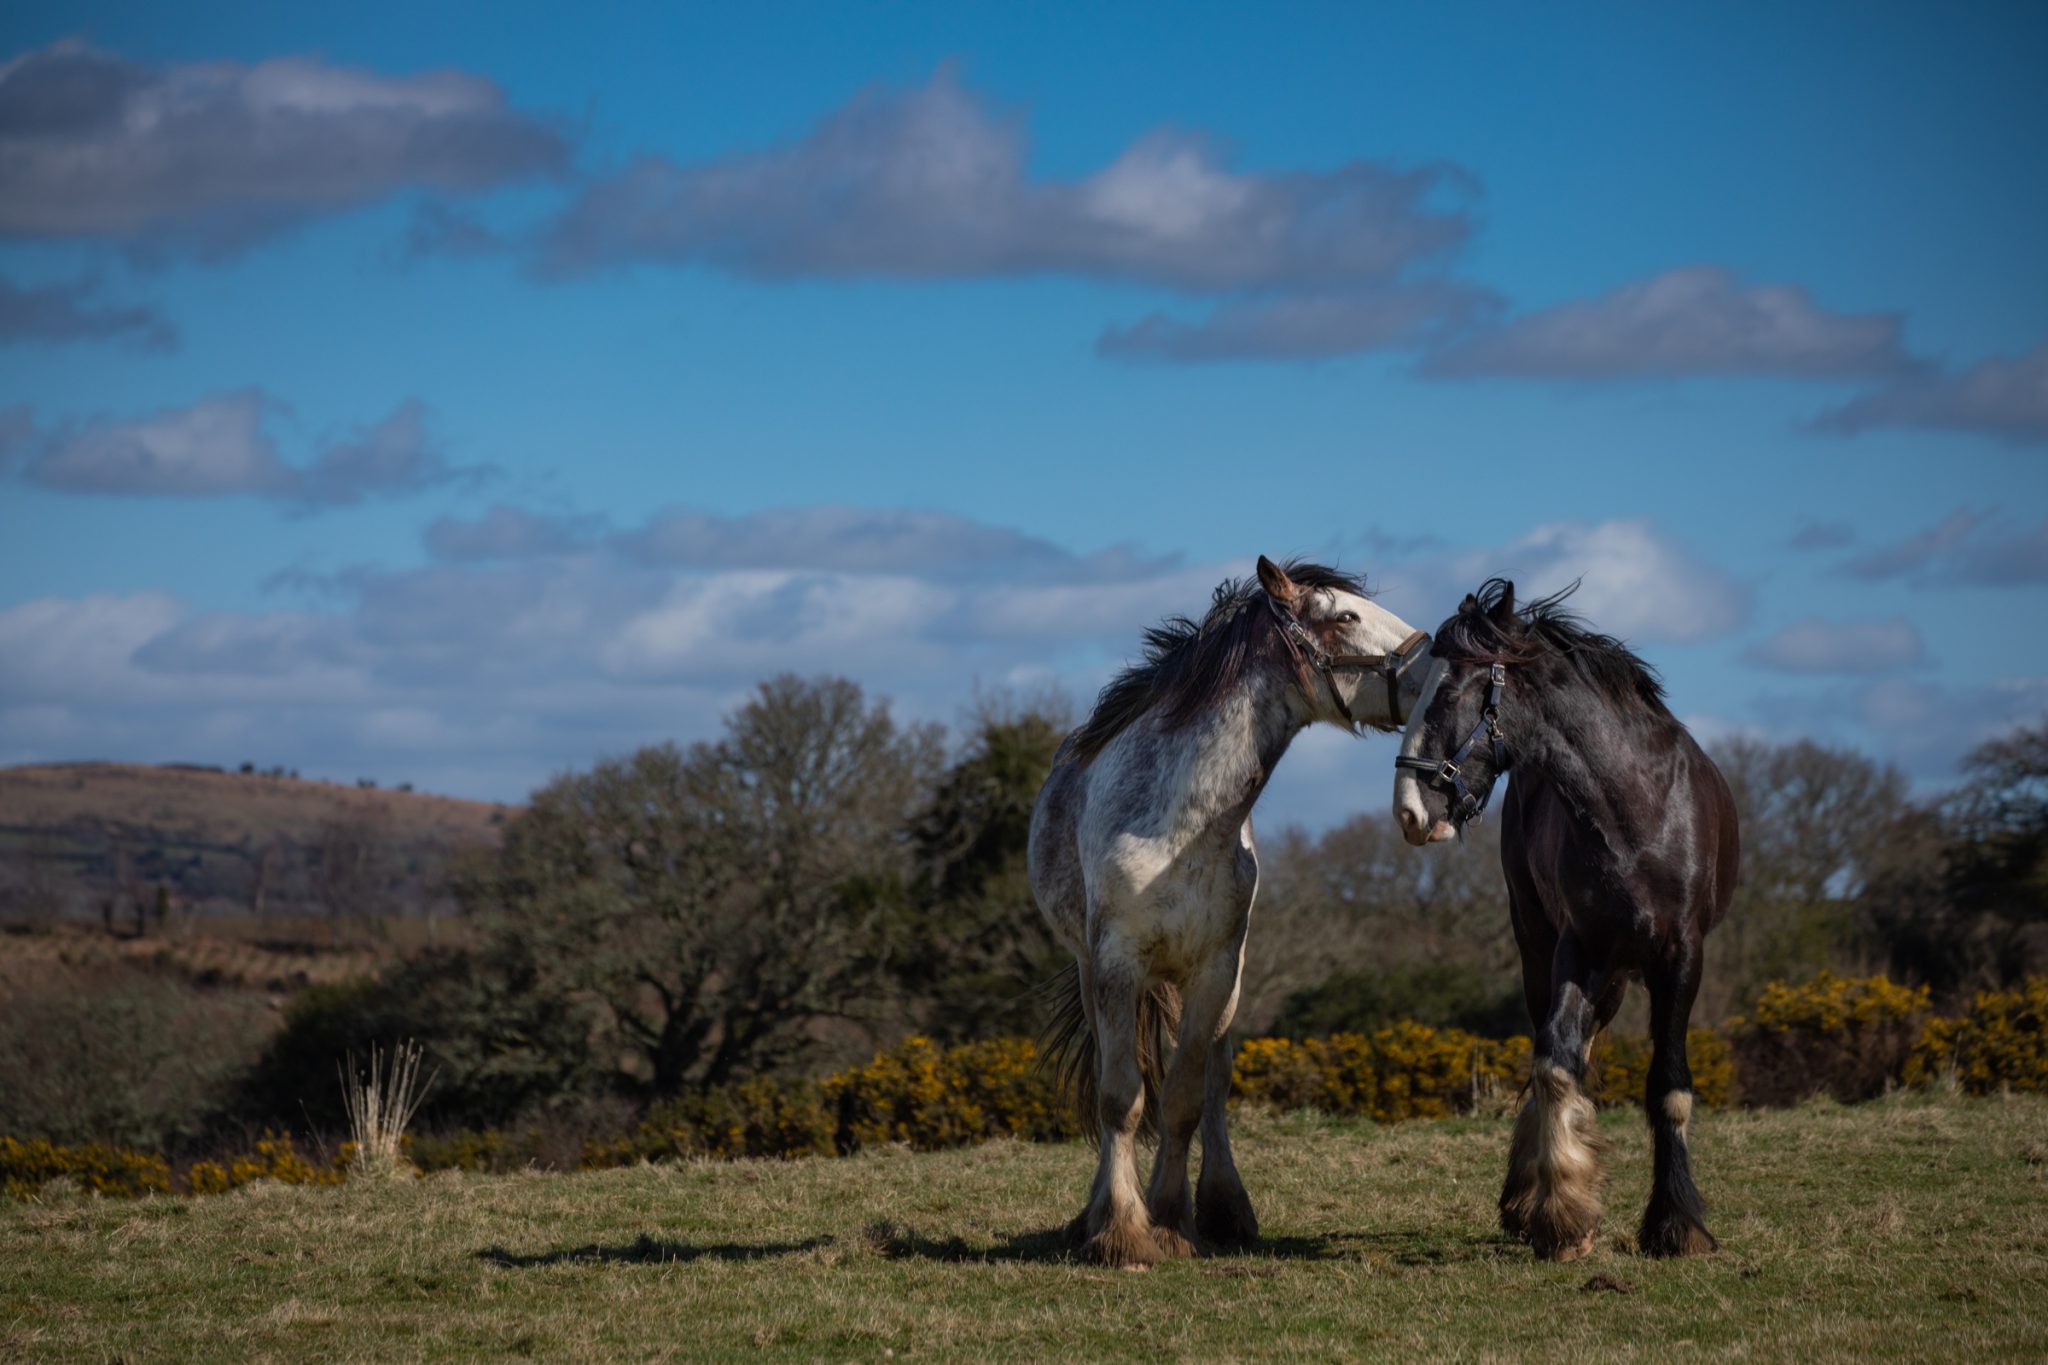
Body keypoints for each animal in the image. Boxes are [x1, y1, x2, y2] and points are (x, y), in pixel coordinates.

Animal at [1384, 577, 1736, 1260]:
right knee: (1556, 1049)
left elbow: (1668, 1086)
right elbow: (1552, 1064)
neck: (1637, 811)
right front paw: (1559, 1213)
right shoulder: (1580, 948)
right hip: (1541, 945)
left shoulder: (1682, 956)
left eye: (1450, 691)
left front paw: (1677, 1222)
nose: (1410, 811)